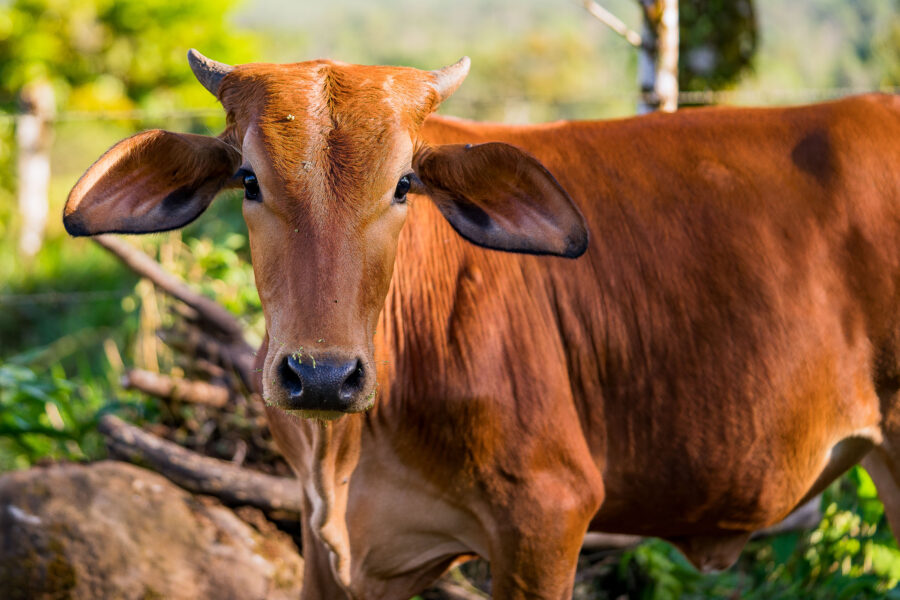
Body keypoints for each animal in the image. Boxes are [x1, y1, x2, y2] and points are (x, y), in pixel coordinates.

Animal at [64, 50, 900, 599]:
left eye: (404, 184)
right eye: (247, 179)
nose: (322, 377)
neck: (349, 448)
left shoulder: (546, 519)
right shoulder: (330, 543)